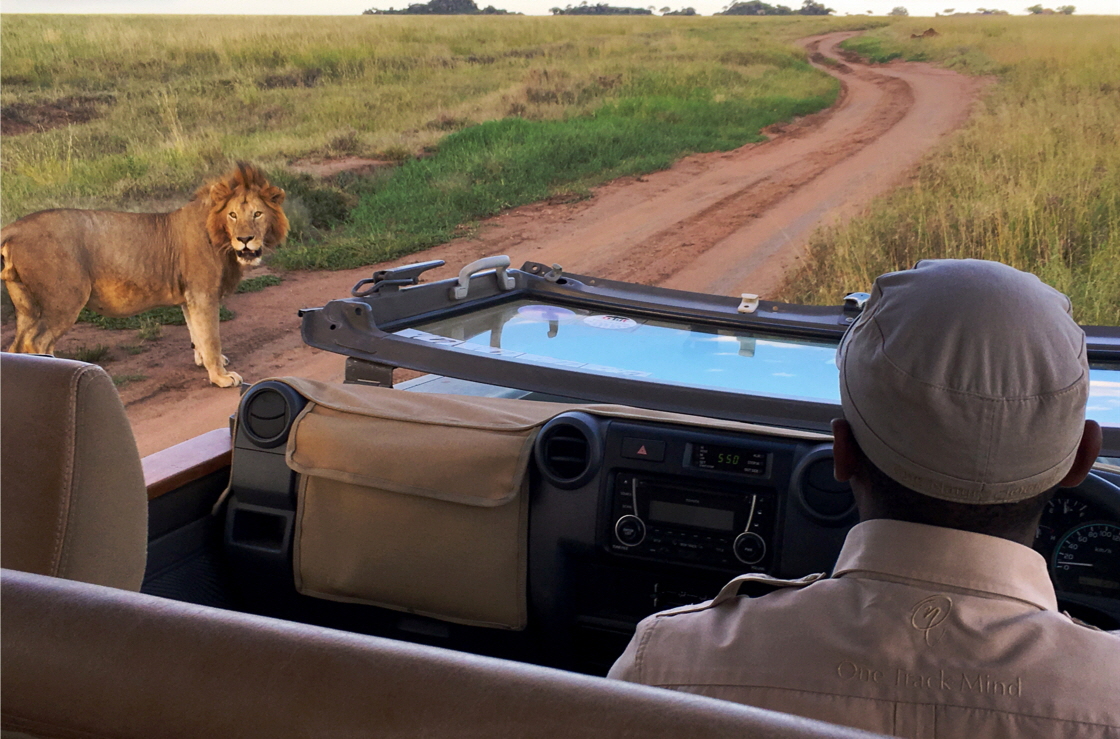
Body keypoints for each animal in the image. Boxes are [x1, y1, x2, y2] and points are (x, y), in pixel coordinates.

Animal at [2, 161, 288, 387]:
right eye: (232, 215)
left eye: (257, 214)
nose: (245, 239)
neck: (219, 237)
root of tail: (16, 227)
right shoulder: (202, 293)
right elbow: (210, 336)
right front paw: (221, 377)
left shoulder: (189, 297)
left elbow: (196, 332)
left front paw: (206, 362)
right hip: (65, 299)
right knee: (38, 343)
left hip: (27, 306)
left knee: (17, 346)